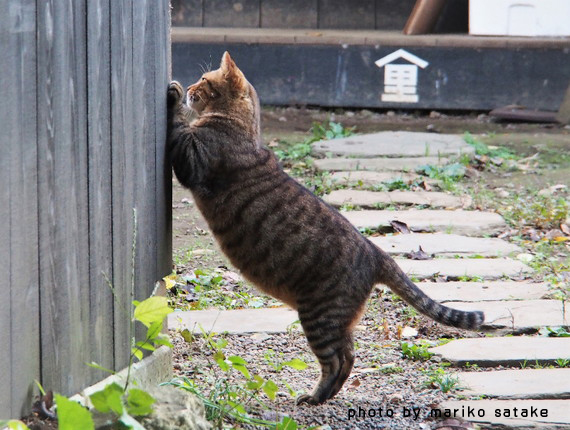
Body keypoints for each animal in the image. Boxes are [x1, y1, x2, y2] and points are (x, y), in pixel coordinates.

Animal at [166, 52, 482, 404]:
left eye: (204, 80)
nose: (191, 87)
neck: (242, 125)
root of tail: (377, 252)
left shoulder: (193, 160)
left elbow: (178, 127)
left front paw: (175, 95)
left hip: (320, 317)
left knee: (339, 360)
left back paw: (315, 397)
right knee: (350, 355)